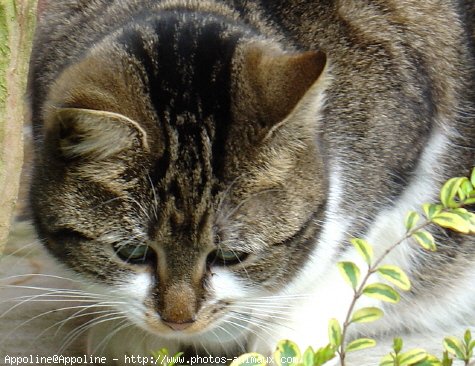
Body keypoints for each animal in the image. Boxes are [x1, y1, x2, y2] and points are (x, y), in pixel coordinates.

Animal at [28, 0, 475, 364]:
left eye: (231, 256)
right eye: (132, 252)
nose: (179, 321)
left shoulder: (402, 163)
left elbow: (356, 252)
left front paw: (287, 340)